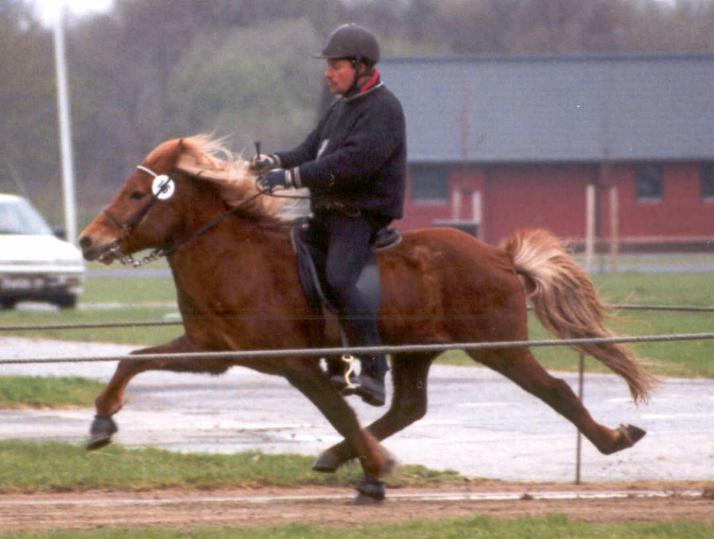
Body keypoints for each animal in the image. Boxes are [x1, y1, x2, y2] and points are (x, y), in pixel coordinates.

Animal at [78, 134, 656, 502]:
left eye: (137, 193)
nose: (87, 240)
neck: (234, 255)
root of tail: (499, 255)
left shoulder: (296, 364)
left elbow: (338, 410)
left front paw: (377, 468)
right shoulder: (213, 351)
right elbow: (133, 360)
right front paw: (102, 422)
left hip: (497, 348)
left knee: (554, 389)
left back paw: (612, 439)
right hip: (416, 352)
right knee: (408, 408)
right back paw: (338, 457)